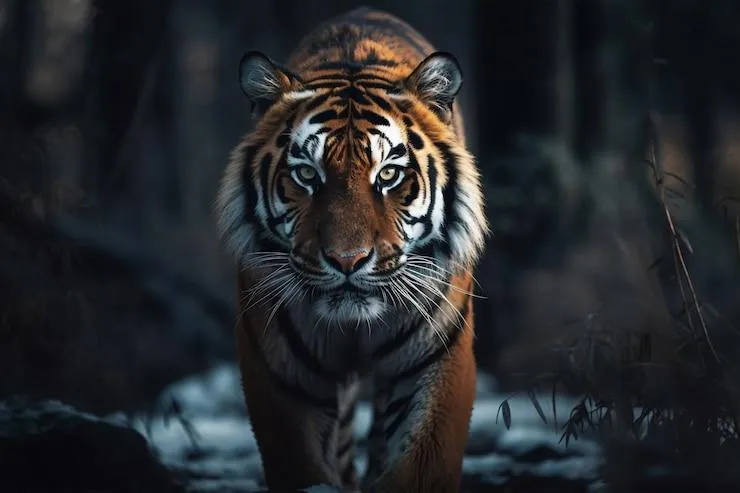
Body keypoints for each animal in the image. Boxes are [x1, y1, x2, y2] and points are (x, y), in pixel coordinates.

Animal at [215, 6, 489, 493]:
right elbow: (303, 467)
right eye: (307, 174)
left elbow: (419, 465)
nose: (347, 260)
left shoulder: (437, 358)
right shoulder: (279, 372)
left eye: (389, 175)